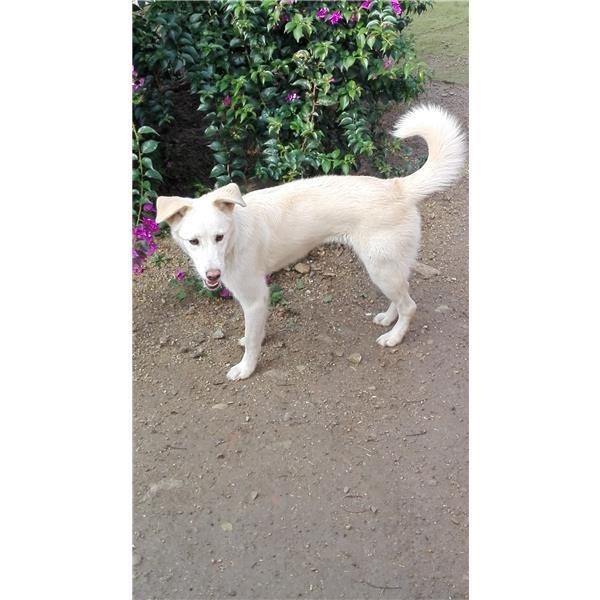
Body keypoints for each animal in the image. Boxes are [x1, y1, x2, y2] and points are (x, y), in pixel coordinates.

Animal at [156, 104, 466, 380]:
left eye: (218, 237)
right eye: (194, 241)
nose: (212, 275)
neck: (236, 234)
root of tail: (398, 186)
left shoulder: (255, 297)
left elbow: (253, 340)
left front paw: (246, 369)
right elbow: (255, 332)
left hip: (381, 268)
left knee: (409, 306)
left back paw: (394, 337)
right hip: (387, 267)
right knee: (402, 297)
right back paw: (389, 319)